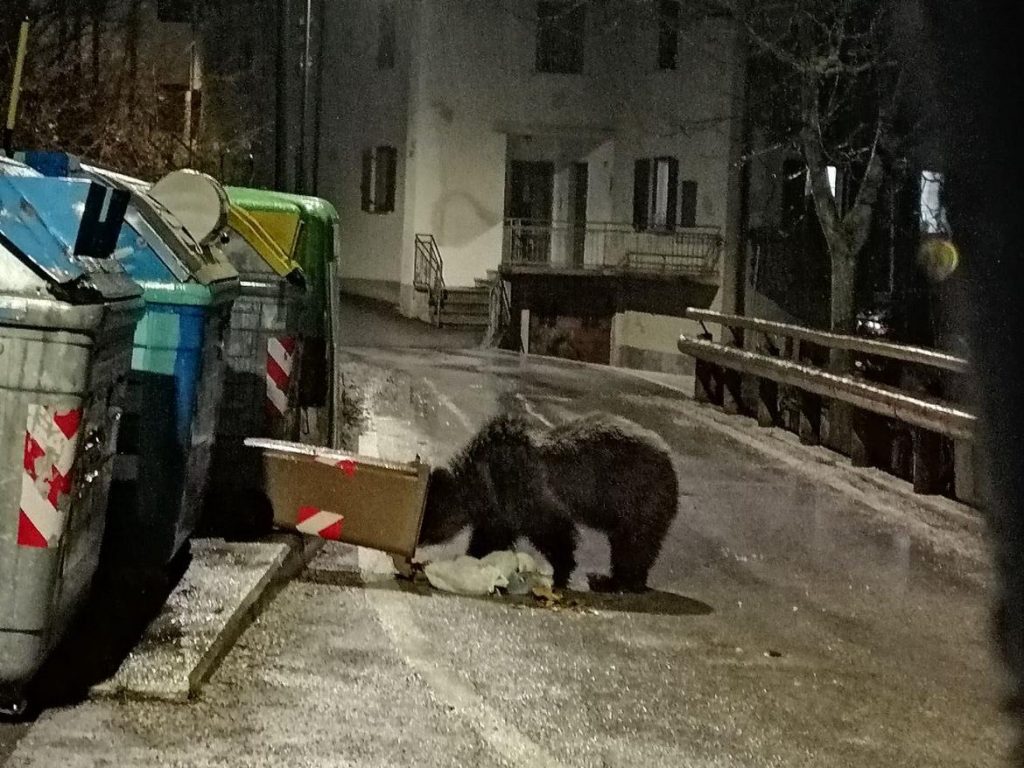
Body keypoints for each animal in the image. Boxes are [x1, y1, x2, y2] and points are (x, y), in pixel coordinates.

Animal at [418, 411, 679, 592]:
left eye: (425, 517)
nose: (416, 541)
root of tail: (670, 462)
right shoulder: (501, 510)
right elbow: (491, 538)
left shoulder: (526, 491)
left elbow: (554, 533)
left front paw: (561, 573)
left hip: (638, 498)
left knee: (633, 544)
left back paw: (613, 581)